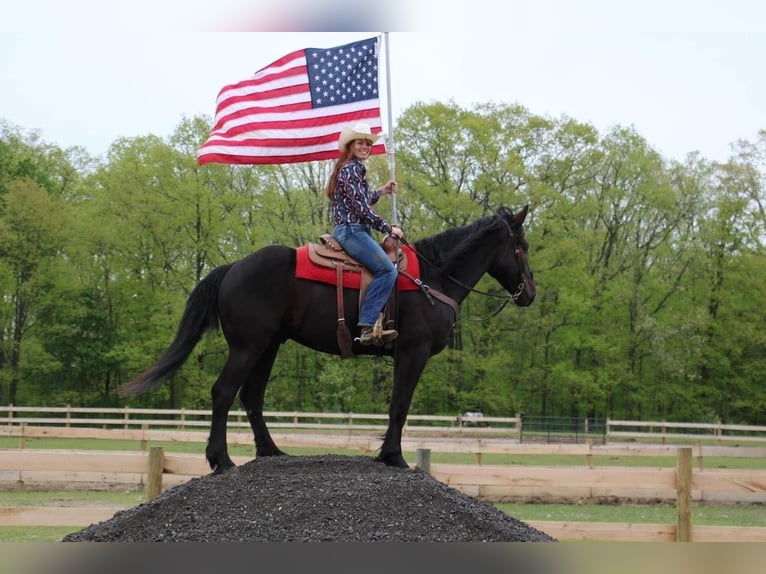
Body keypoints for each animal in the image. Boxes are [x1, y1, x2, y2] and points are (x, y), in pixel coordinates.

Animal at [121, 207, 540, 472]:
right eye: (522, 247)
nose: (531, 293)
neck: (433, 278)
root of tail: (233, 267)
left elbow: (397, 406)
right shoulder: (412, 352)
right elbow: (400, 406)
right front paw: (394, 457)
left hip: (268, 346)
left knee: (251, 397)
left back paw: (271, 451)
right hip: (248, 346)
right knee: (224, 392)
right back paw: (221, 460)